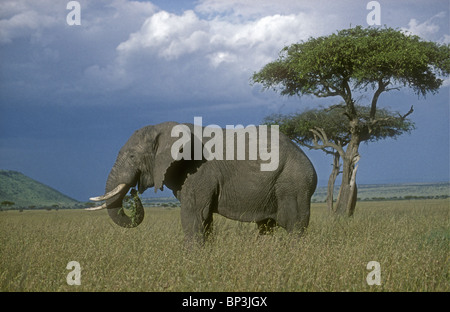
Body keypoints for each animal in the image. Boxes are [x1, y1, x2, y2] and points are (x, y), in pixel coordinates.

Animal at [89, 120, 318, 245]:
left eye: (132, 157)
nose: (134, 192)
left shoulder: (199, 172)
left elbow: (193, 215)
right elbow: (204, 220)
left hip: (294, 183)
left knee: (294, 226)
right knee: (266, 227)